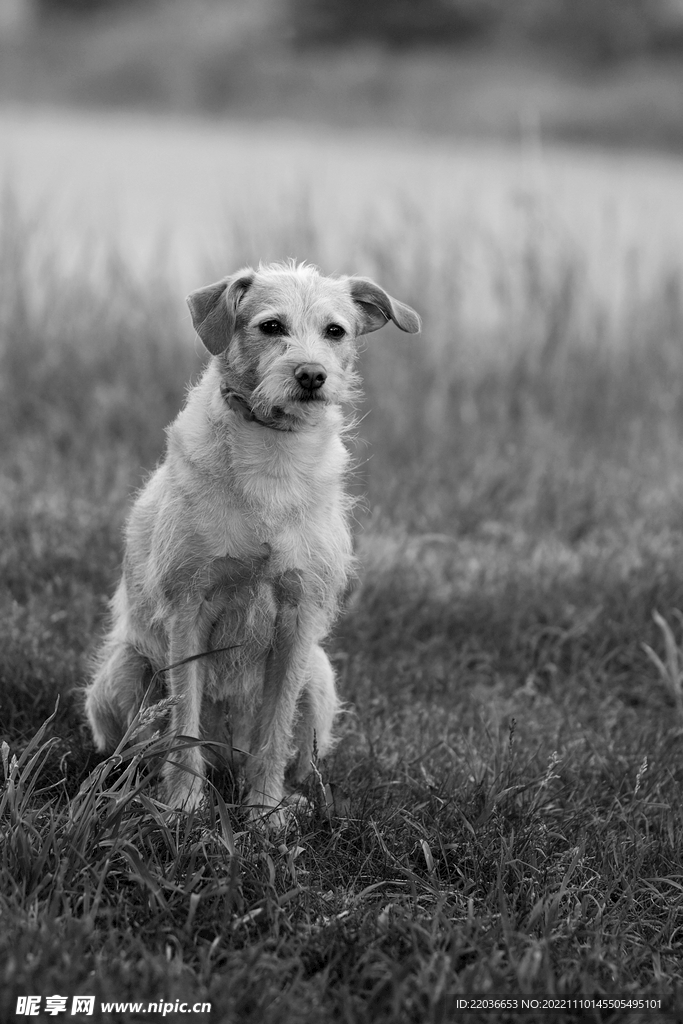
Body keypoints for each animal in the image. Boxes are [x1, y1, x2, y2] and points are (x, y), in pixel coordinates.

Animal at [82, 262, 419, 823]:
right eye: (271, 326)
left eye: (335, 331)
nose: (311, 375)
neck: (272, 454)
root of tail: (225, 757)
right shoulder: (189, 609)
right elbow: (184, 725)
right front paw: (184, 807)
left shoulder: (298, 617)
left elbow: (274, 732)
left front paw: (265, 813)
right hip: (125, 670)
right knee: (136, 750)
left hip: (320, 679)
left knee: (291, 754)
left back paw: (292, 798)